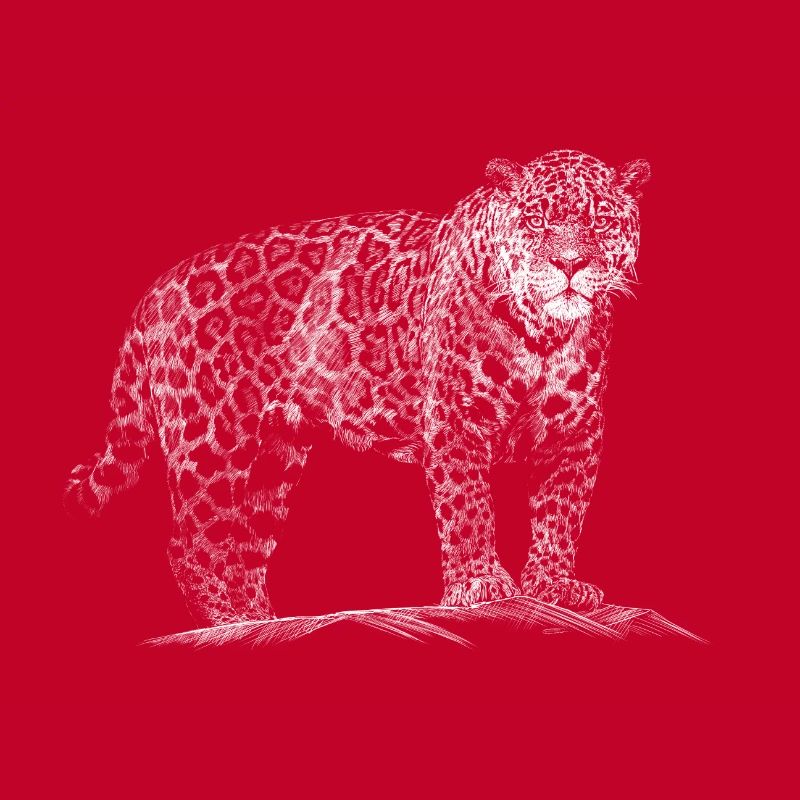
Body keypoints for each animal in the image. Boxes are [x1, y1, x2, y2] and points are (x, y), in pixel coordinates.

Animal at [65, 149, 651, 627]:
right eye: (536, 220)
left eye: (601, 222)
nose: (570, 264)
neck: (545, 334)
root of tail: (154, 290)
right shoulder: (455, 420)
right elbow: (468, 507)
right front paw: (480, 584)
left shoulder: (575, 431)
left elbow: (561, 512)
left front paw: (554, 586)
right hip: (213, 440)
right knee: (192, 544)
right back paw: (231, 624)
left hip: (273, 456)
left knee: (242, 551)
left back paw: (262, 621)